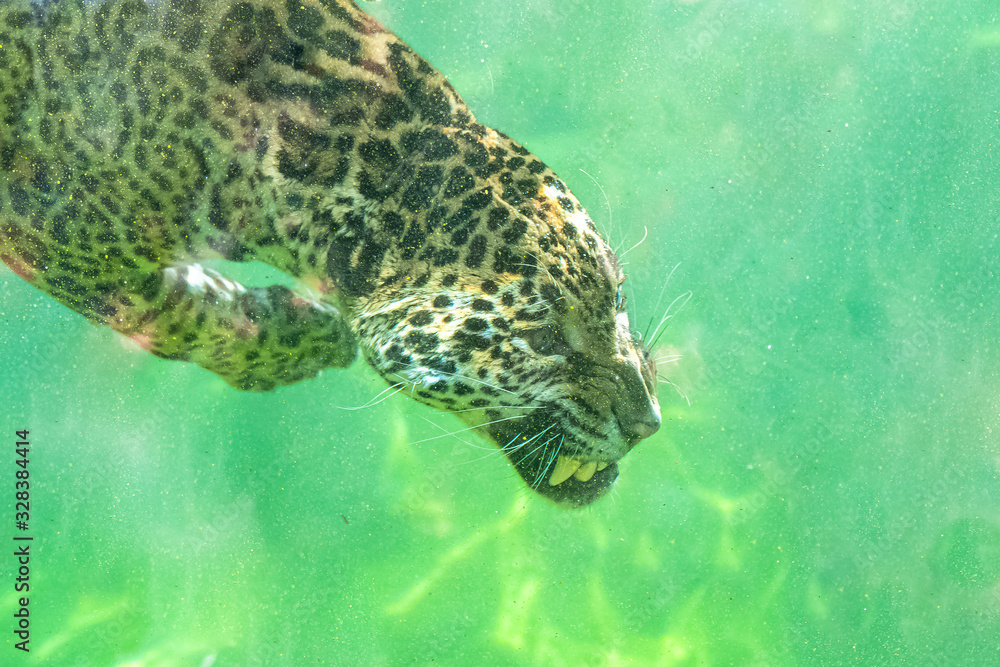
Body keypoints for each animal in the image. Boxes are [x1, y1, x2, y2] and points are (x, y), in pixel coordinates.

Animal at [0, 0, 662, 506]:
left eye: (617, 299)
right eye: (545, 340)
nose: (647, 424)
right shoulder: (52, 227)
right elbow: (173, 315)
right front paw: (304, 341)